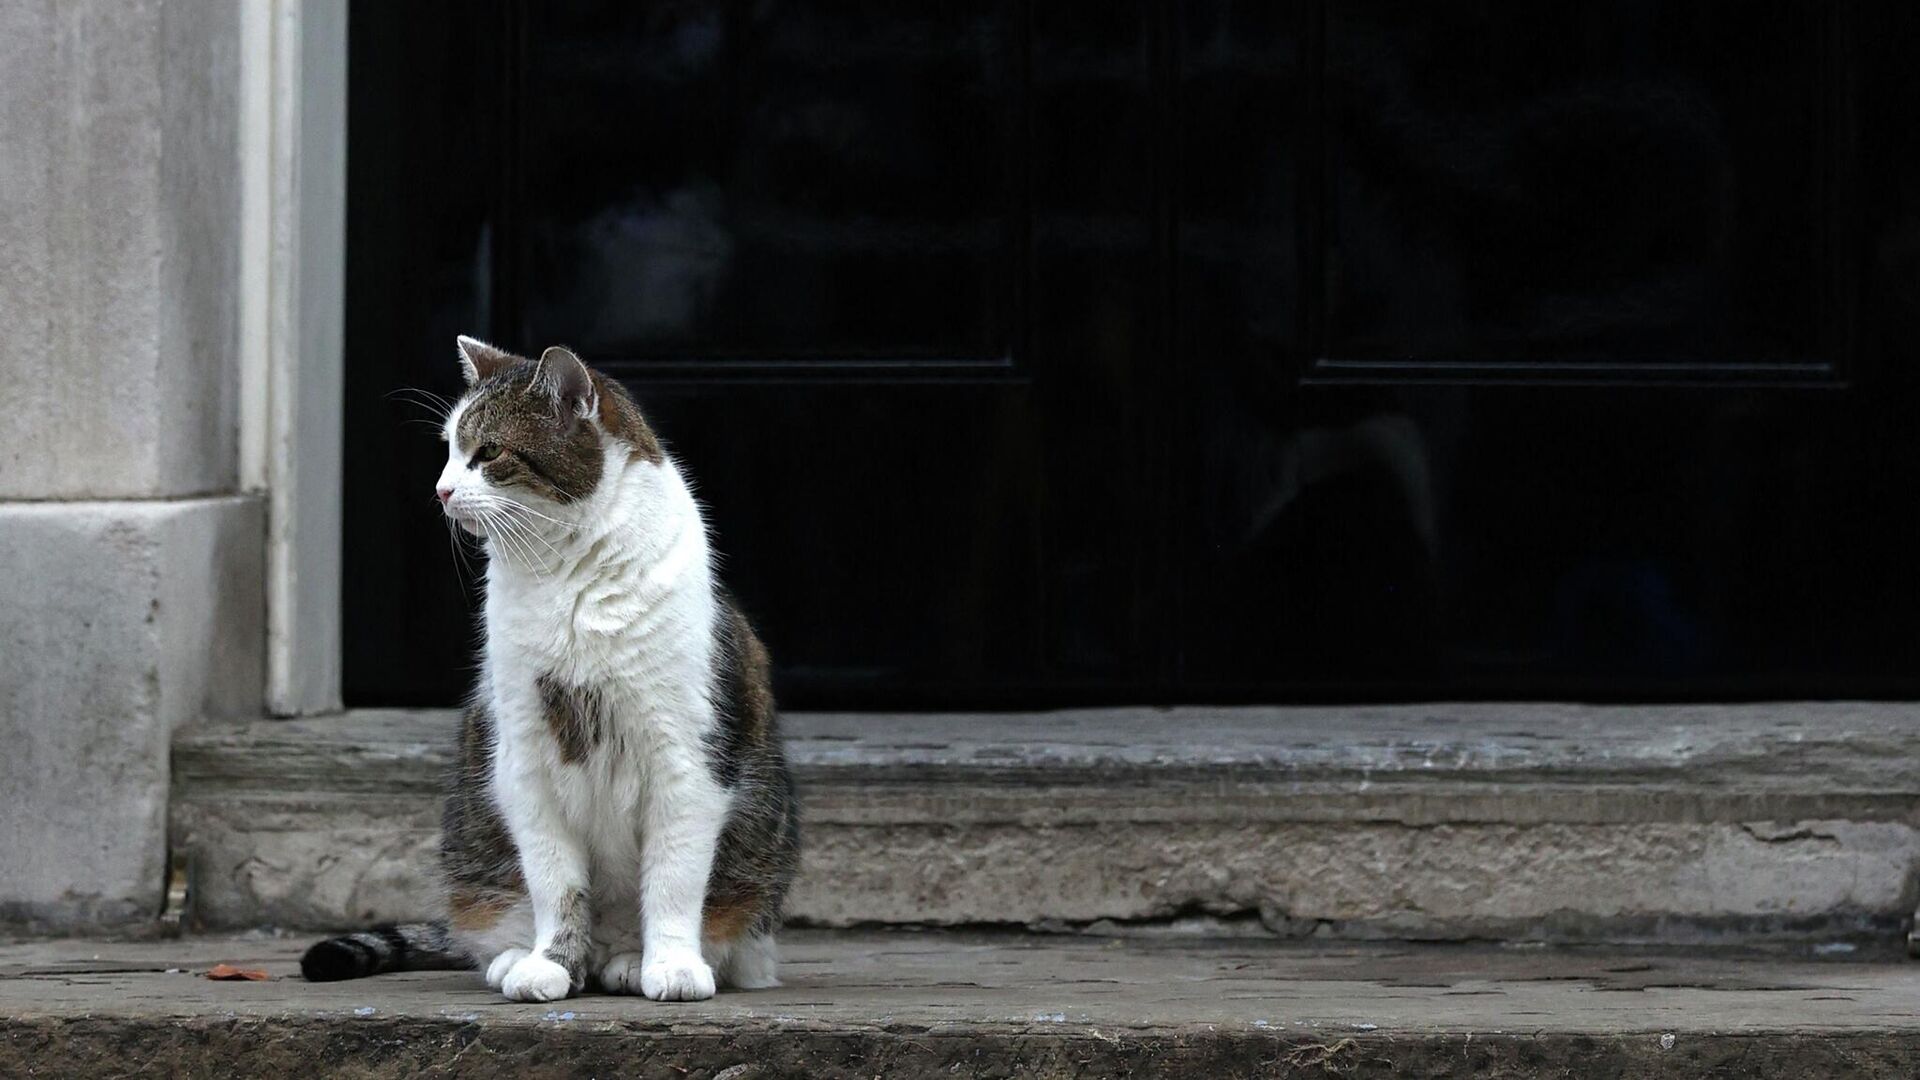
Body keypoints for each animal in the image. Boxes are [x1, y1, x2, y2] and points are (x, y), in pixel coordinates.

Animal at [303, 336, 798, 999]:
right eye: (449, 450)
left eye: (488, 452)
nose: (442, 491)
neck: (569, 573)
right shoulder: (524, 756)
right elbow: (555, 883)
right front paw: (549, 964)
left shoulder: (686, 760)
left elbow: (673, 880)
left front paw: (672, 965)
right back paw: (526, 959)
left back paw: (629, 962)